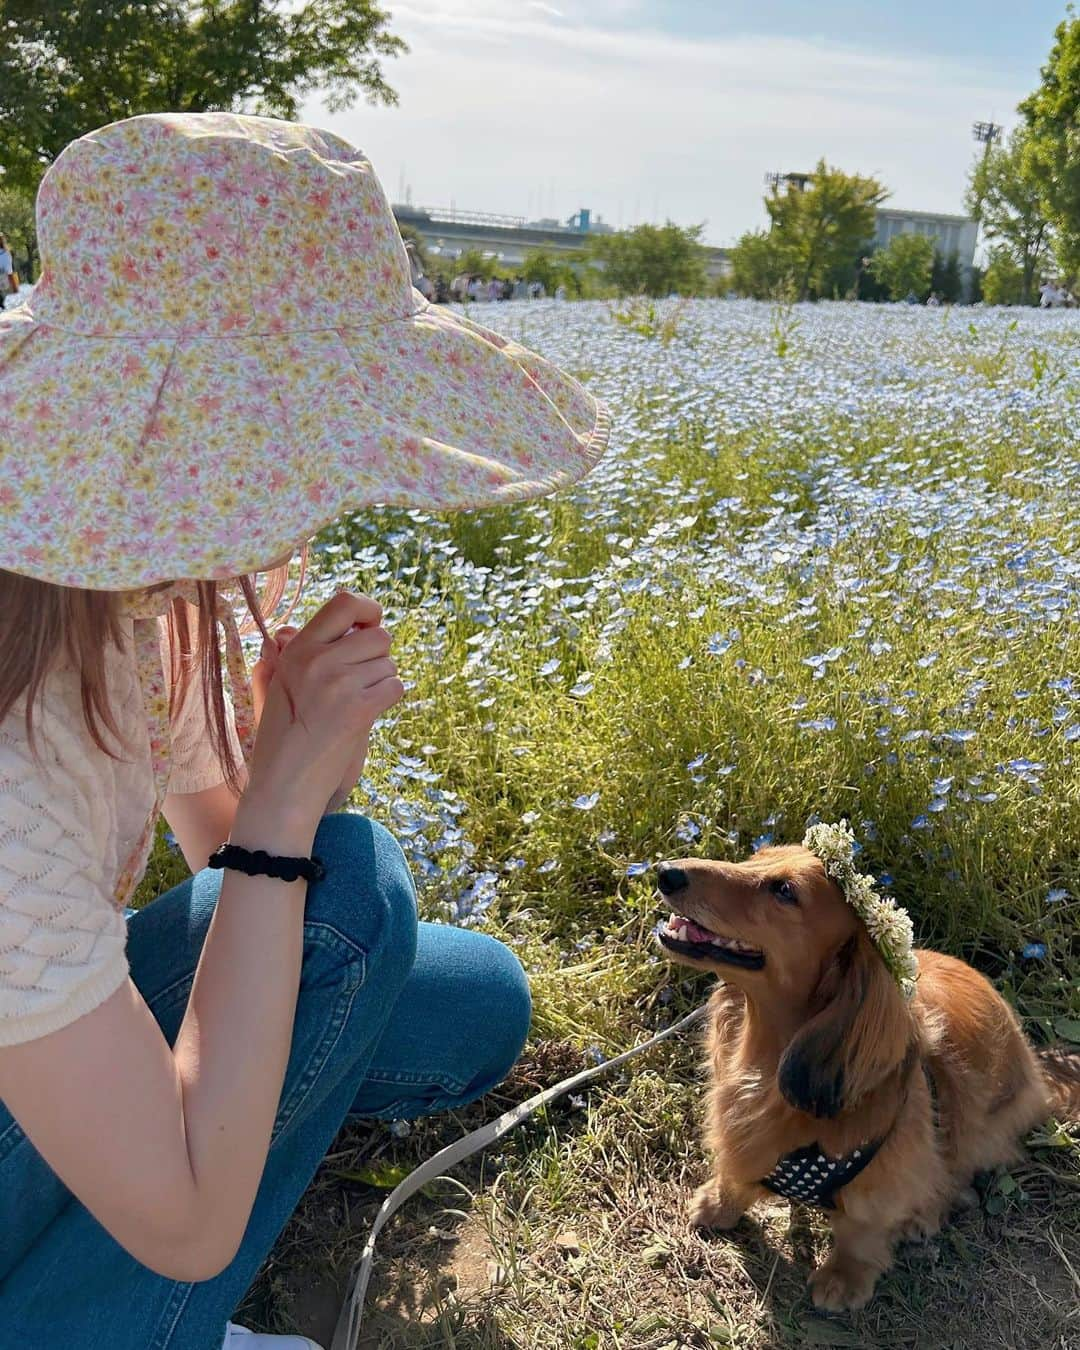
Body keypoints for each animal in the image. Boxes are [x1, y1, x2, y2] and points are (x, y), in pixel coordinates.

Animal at [653, 842, 1074, 1306]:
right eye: (753, 859)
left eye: (784, 890)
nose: (665, 872)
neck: (765, 1065)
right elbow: (736, 1176)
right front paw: (719, 1204)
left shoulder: (882, 1183)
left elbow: (862, 1230)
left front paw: (844, 1277)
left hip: (978, 1125)